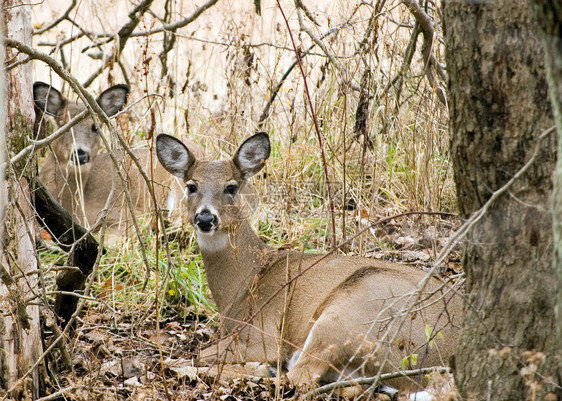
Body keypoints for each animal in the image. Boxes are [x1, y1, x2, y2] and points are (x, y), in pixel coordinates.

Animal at [155, 132, 462, 396]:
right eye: (191, 186)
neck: (244, 285)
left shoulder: (261, 333)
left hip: (350, 312)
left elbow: (196, 355)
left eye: (230, 187)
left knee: (297, 377)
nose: (205, 218)